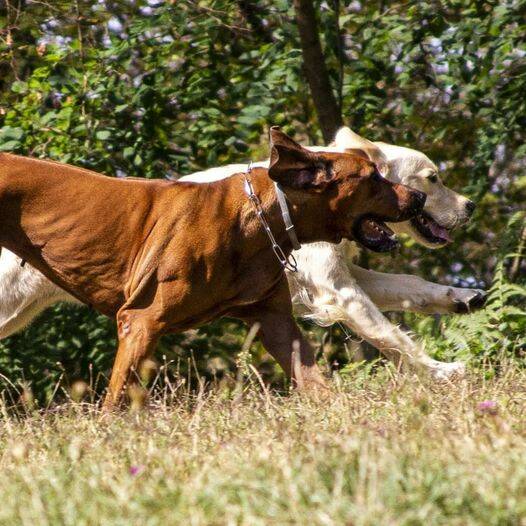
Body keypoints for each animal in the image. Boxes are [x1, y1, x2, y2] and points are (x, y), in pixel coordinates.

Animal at [0, 128, 486, 380]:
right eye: (434, 178)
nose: (470, 206)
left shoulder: (342, 276)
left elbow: (411, 286)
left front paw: (462, 296)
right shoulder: (336, 291)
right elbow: (392, 335)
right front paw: (440, 370)